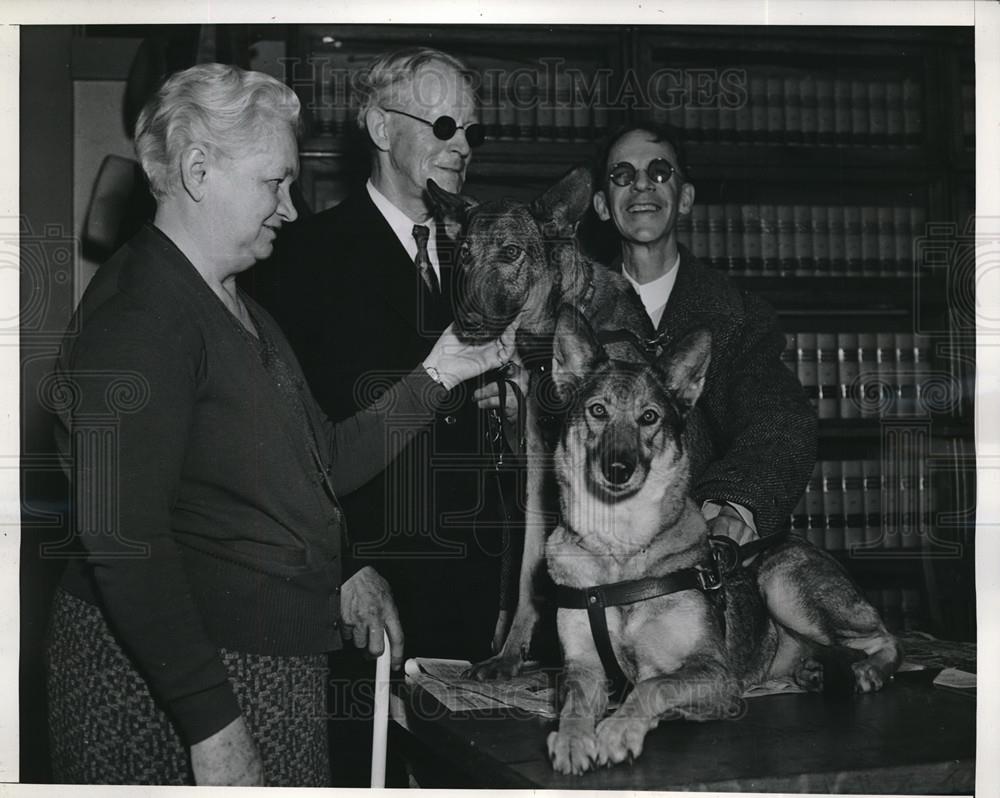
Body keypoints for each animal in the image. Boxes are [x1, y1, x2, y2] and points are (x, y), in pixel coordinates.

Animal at [544, 304, 904, 776]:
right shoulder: (581, 666)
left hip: (781, 582)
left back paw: (867, 671)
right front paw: (572, 739)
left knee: (885, 639)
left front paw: (619, 730)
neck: (620, 550)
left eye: (649, 417)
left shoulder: (715, 674)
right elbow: (573, 701)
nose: (618, 469)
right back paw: (814, 671)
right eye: (598, 410)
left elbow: (653, 685)